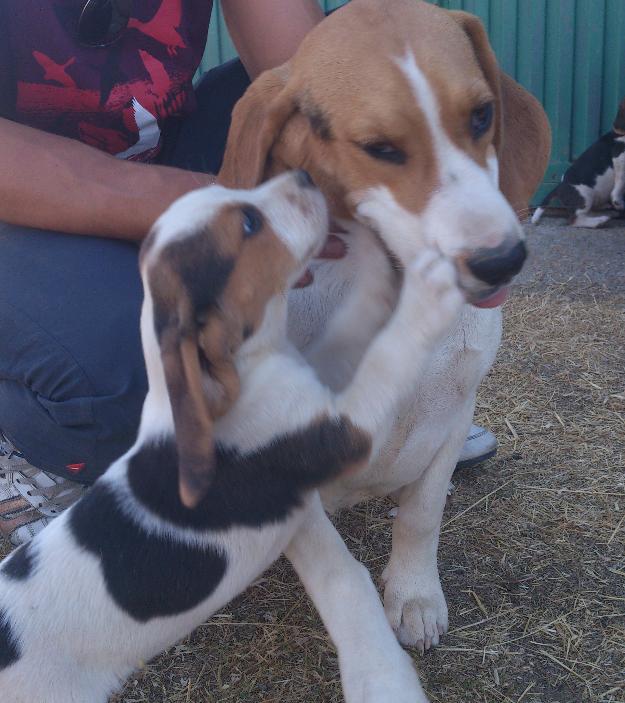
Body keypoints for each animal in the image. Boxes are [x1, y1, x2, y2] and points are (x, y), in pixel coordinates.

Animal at [0, 172, 466, 703]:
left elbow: (358, 320)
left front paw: (370, 247)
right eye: (248, 223)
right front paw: (429, 286)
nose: (304, 176)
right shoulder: (342, 427)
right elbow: (388, 354)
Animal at [217, 0, 548, 656]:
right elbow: (337, 569)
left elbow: (421, 518)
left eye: (482, 114)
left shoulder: (454, 413)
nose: (502, 259)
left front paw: (414, 596)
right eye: (379, 148)